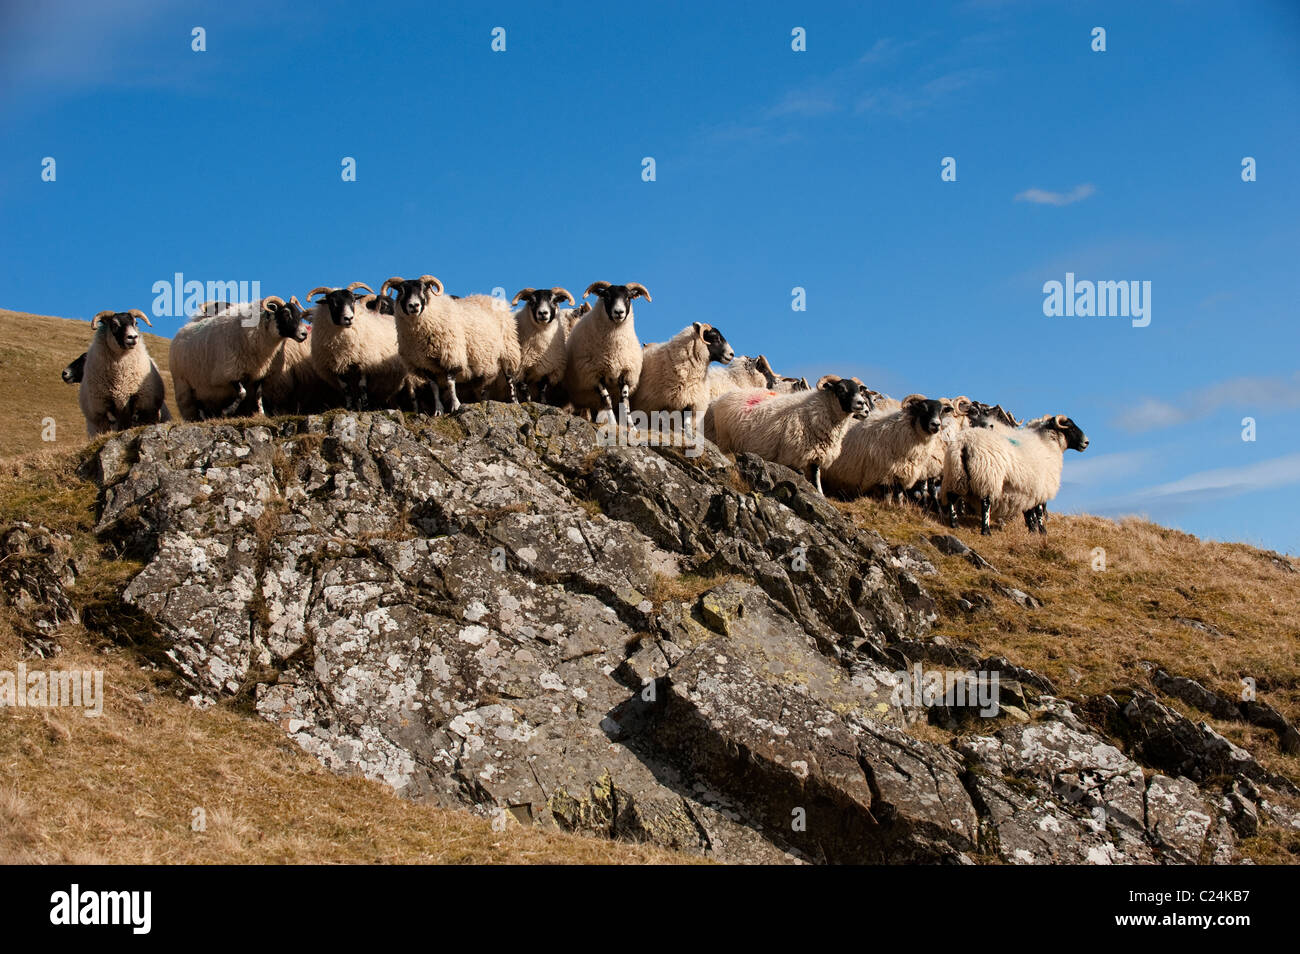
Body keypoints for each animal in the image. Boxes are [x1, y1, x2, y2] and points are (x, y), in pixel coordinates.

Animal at [170, 297, 309, 421]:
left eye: (299, 314)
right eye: (286, 313)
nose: (304, 334)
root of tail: (183, 328)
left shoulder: (259, 373)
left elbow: (258, 395)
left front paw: (261, 413)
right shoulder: (230, 372)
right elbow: (243, 393)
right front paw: (227, 411)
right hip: (184, 385)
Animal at [566, 280, 655, 421]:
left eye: (628, 297)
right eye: (607, 296)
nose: (619, 312)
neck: (614, 348)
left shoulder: (626, 373)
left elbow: (625, 402)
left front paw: (630, 425)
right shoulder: (595, 375)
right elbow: (607, 401)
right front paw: (613, 422)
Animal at [707, 374, 868, 493]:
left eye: (859, 390)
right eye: (841, 389)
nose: (862, 405)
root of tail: (719, 399)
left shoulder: (816, 457)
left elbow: (817, 479)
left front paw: (820, 495)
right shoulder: (791, 457)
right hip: (724, 440)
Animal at [946, 413, 1086, 535]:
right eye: (1071, 427)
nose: (1086, 442)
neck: (1047, 444)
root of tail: (965, 441)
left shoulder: (1028, 490)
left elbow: (1029, 513)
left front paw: (1032, 531)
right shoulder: (1041, 488)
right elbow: (1039, 511)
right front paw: (1043, 532)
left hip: (957, 474)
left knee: (951, 496)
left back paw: (954, 524)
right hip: (987, 475)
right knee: (985, 503)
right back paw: (986, 531)